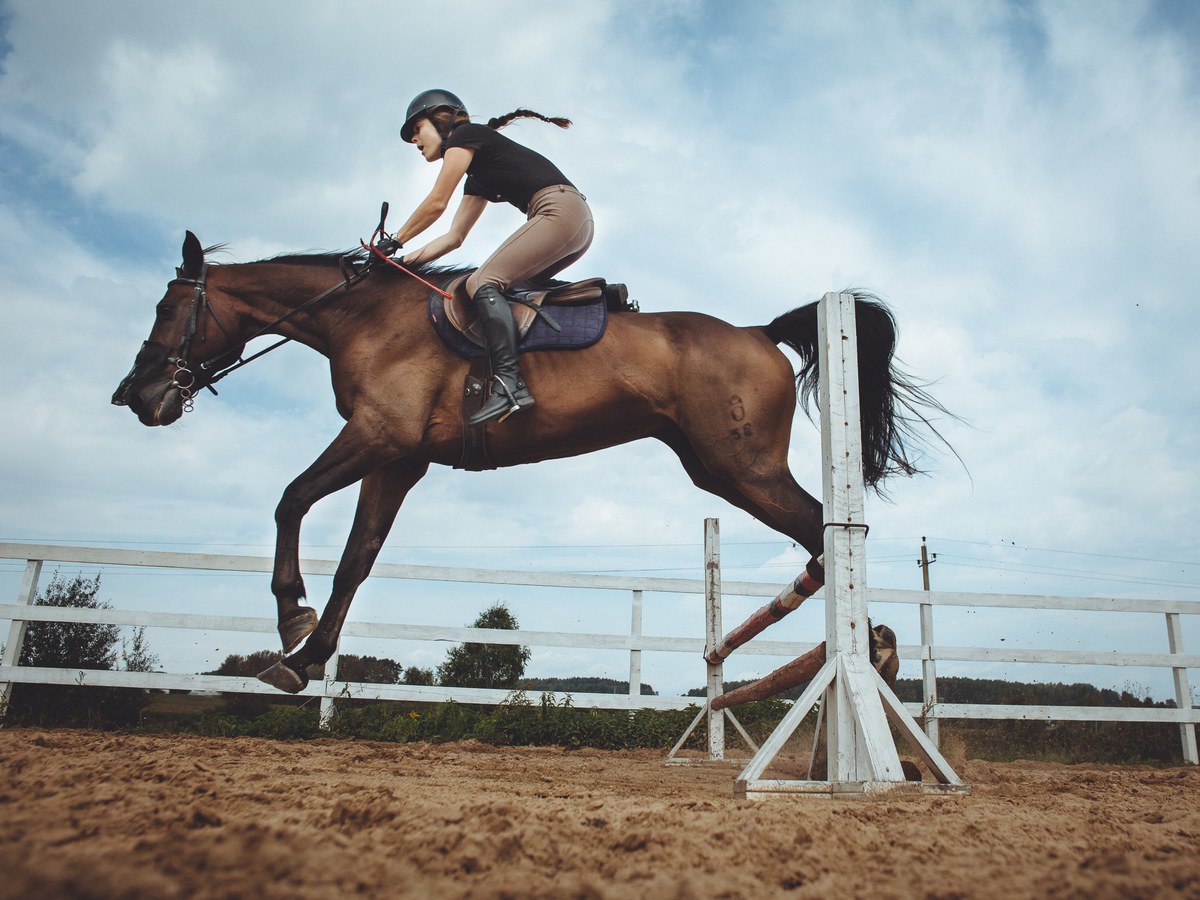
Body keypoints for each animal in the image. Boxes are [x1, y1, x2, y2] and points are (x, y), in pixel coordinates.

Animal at [112, 230, 945, 691]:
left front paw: (291, 616)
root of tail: (757, 330)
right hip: (719, 470)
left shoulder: (376, 436)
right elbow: (356, 561)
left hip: (744, 470)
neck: (363, 318)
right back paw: (869, 649)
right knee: (820, 539)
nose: (134, 396)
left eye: (166, 309)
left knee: (828, 532)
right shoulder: (396, 459)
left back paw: (873, 650)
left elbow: (289, 499)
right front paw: (307, 656)